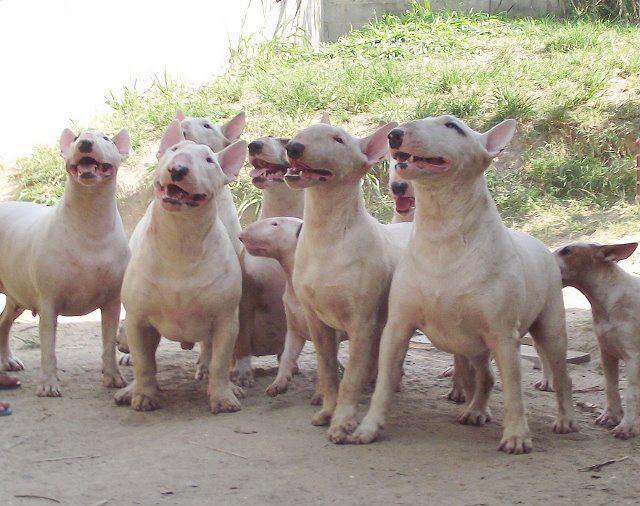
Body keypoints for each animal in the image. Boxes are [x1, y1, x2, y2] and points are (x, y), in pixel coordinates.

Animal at [0, 127, 130, 396]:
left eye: (106, 139)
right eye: (77, 137)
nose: (85, 143)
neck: (89, 220)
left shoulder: (112, 302)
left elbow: (108, 343)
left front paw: (113, 377)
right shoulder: (49, 301)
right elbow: (48, 347)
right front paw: (48, 384)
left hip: (17, 294)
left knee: (3, 322)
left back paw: (8, 361)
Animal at [114, 120, 246, 414]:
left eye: (209, 160)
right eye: (173, 151)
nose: (178, 169)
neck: (181, 240)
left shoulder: (225, 319)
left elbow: (220, 361)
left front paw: (222, 396)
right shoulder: (139, 319)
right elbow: (144, 362)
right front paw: (143, 395)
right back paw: (130, 390)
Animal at [284, 118, 412, 442]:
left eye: (338, 140)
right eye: (301, 134)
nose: (292, 147)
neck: (328, 238)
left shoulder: (361, 323)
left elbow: (350, 378)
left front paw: (342, 422)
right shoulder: (317, 322)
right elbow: (328, 371)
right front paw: (327, 413)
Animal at [348, 115, 576, 454]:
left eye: (452, 126)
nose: (395, 135)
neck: (442, 230)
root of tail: (537, 241)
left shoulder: (503, 335)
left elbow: (514, 391)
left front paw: (517, 436)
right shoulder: (398, 326)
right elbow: (384, 383)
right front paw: (368, 428)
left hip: (550, 327)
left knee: (561, 374)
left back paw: (566, 420)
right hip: (475, 344)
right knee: (485, 377)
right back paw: (475, 411)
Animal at [556, 242, 640, 438]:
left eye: (567, 251)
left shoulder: (634, 358)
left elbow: (631, 394)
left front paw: (626, 427)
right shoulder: (607, 353)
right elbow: (611, 386)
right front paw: (611, 417)